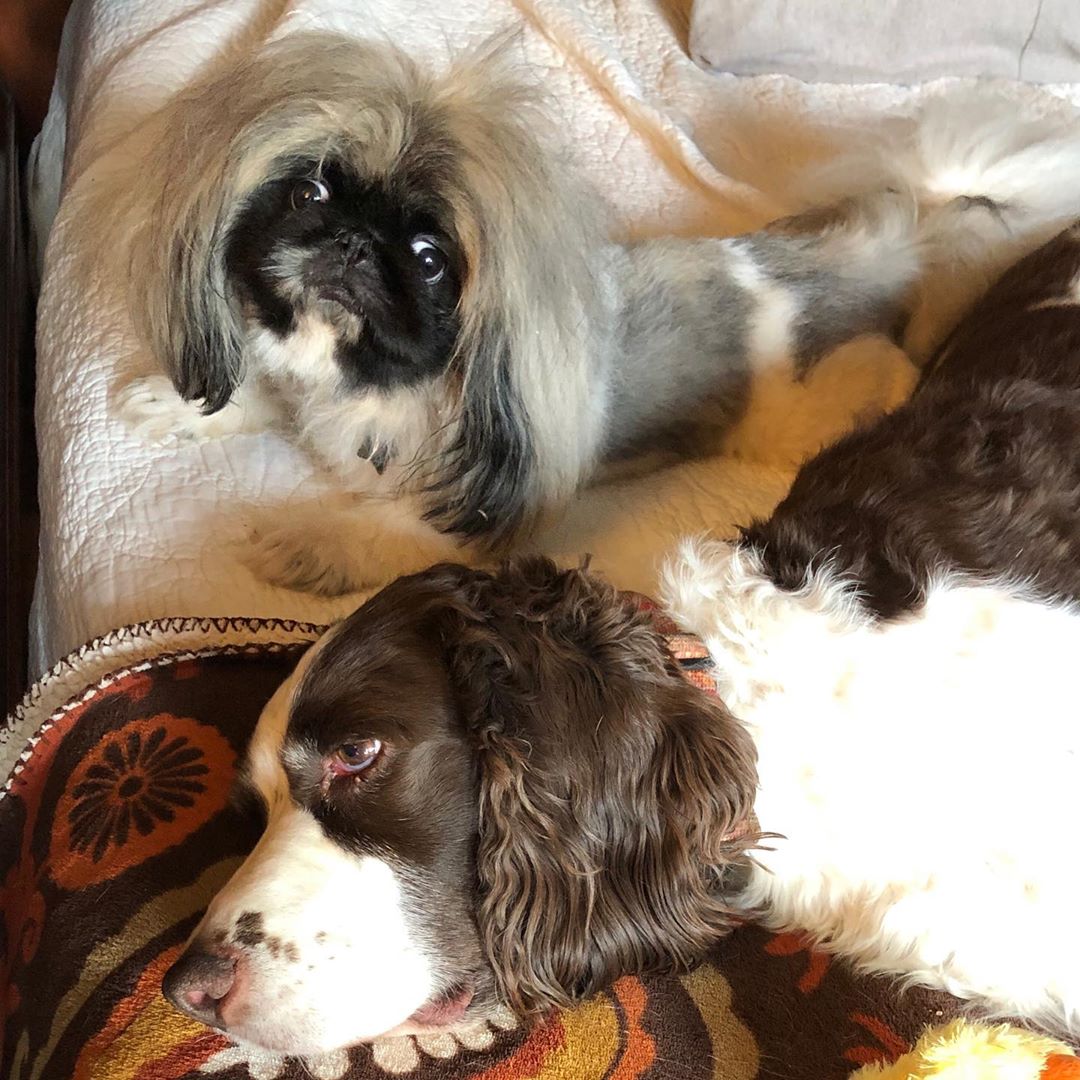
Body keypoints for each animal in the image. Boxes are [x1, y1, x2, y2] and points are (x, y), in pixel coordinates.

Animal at [118, 33, 980, 596]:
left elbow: (371, 529)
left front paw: (306, 543)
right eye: (309, 193)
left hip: (802, 409)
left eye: (428, 259)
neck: (367, 381)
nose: (354, 242)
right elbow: (262, 389)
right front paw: (179, 406)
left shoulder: (464, 509)